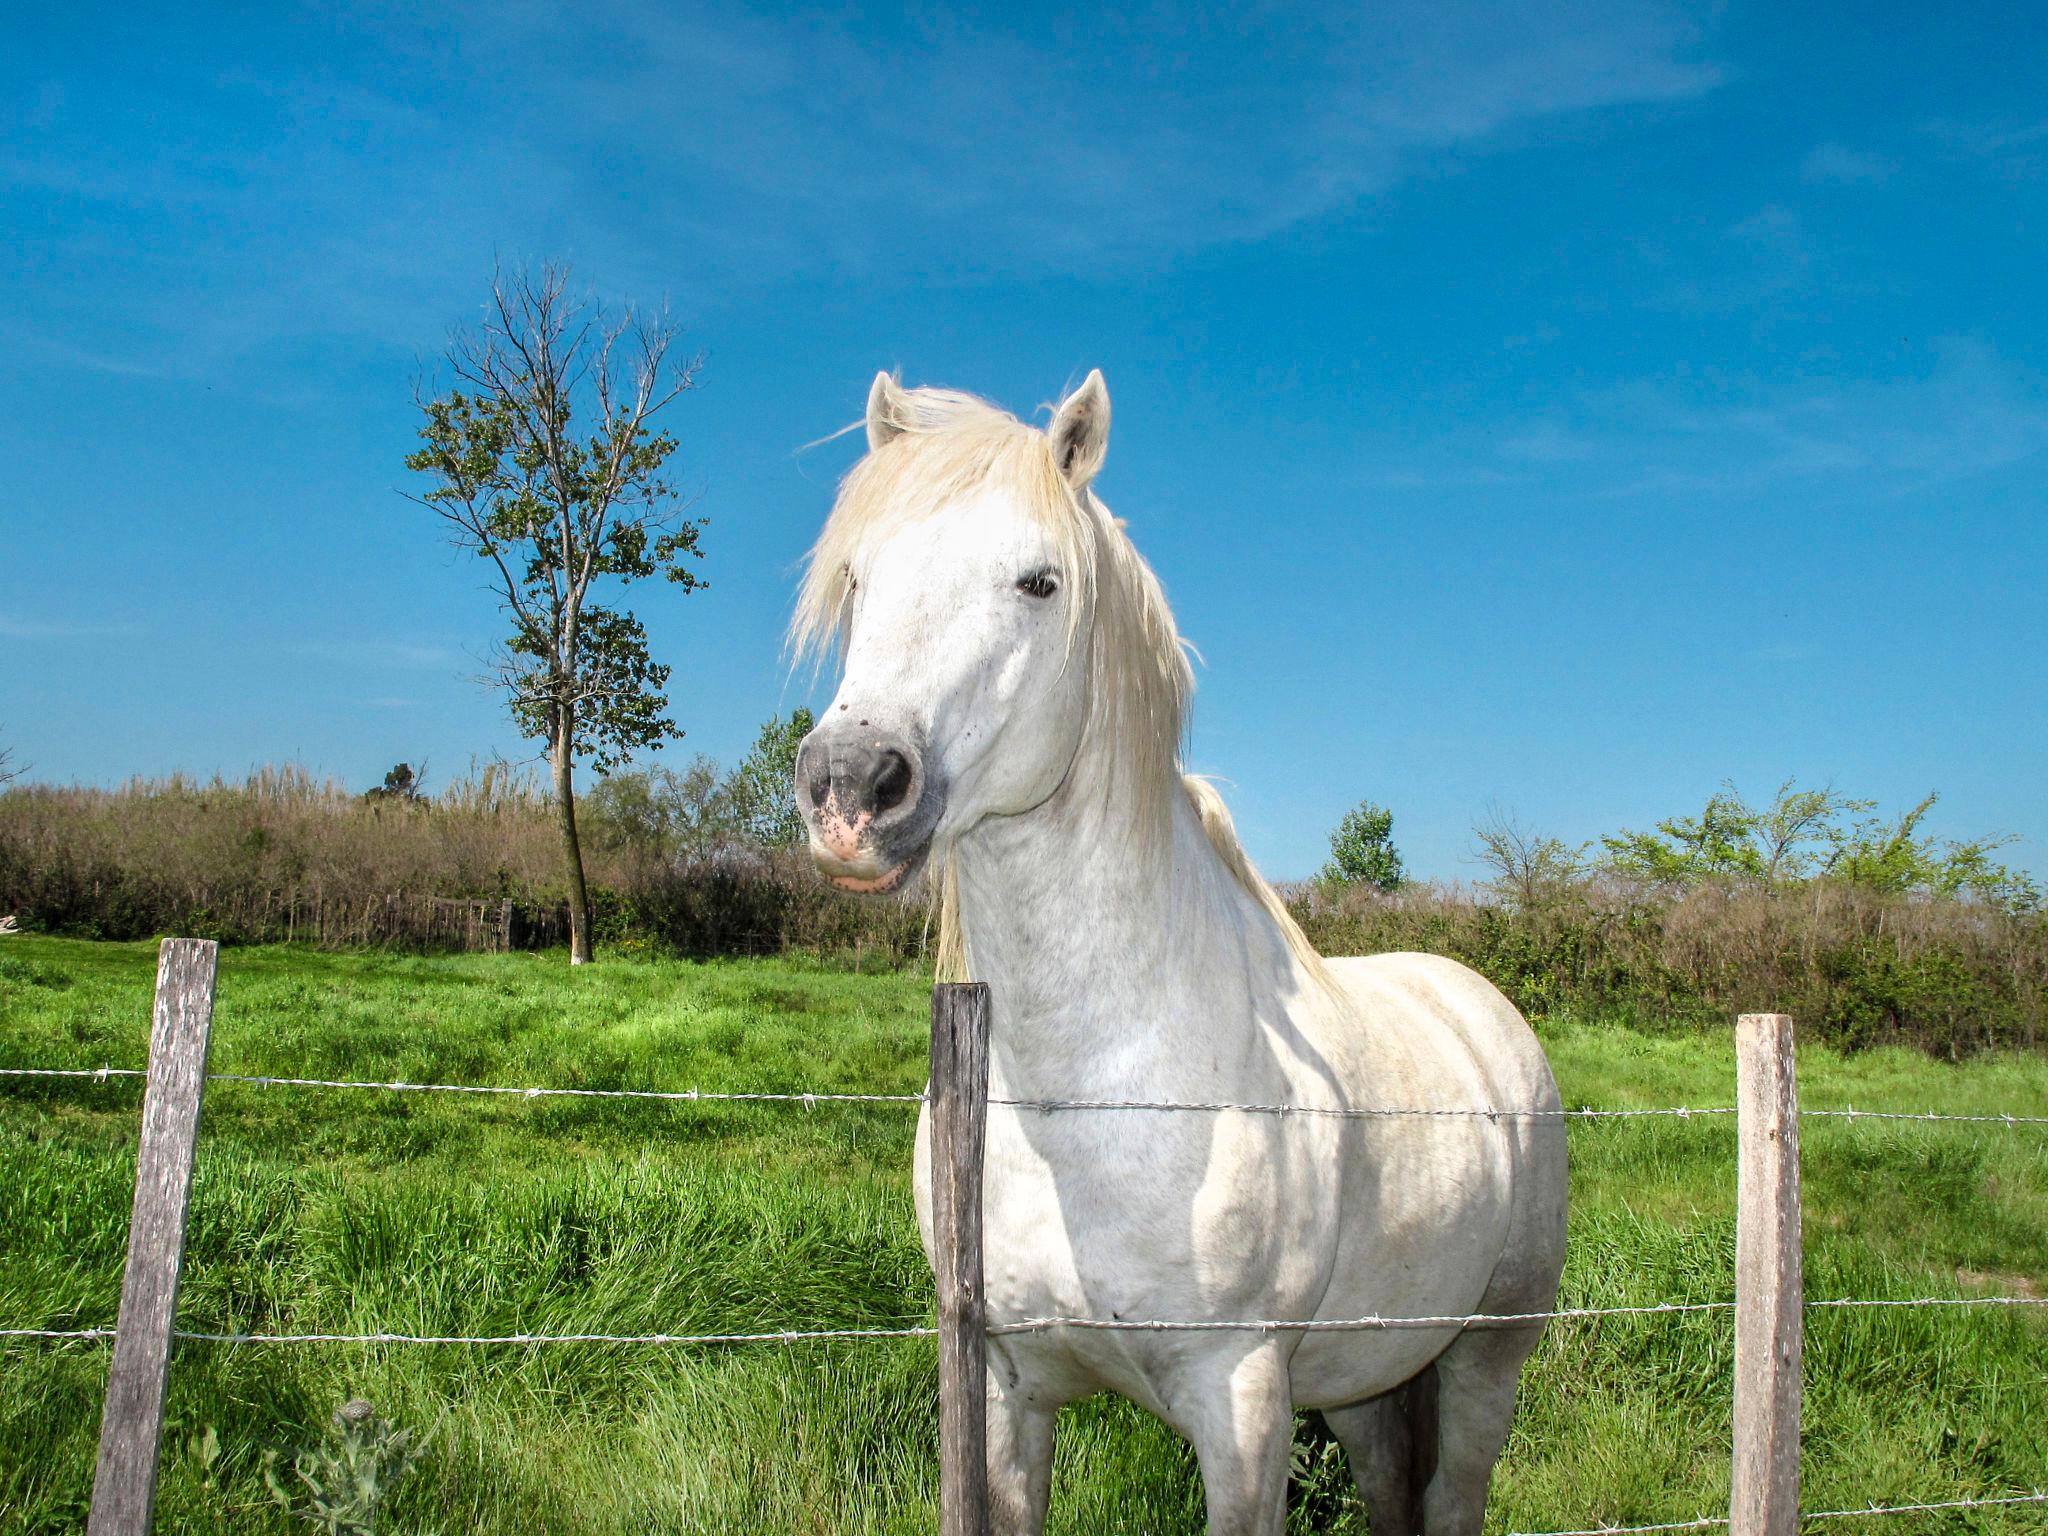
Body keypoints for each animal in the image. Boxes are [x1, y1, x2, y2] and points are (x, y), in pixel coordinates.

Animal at [790, 376, 1556, 1536]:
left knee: (1453, 1494)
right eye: (858, 577)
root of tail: (1479, 1006)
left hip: (1485, 1360)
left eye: (1040, 581)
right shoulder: (1007, 1393)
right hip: (1367, 1379)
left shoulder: (1239, 1409)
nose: (849, 786)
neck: (1090, 1094)